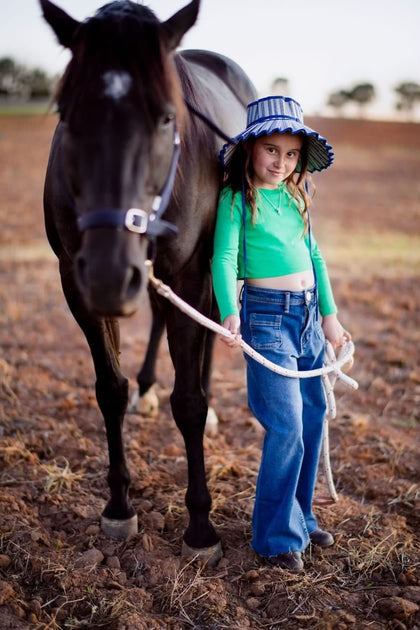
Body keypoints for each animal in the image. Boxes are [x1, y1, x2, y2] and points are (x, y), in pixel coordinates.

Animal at [40, 0, 256, 564]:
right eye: (67, 112)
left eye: (165, 117)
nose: (110, 273)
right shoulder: (76, 281)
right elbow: (108, 389)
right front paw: (118, 507)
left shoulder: (192, 273)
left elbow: (190, 405)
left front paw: (200, 529)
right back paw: (147, 389)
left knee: (211, 332)